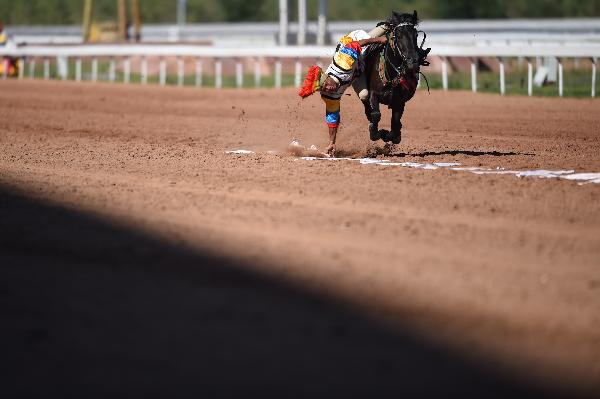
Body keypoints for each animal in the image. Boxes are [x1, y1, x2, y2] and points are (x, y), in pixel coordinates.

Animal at [364, 10, 428, 145]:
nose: (412, 62)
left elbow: (395, 121)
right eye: (398, 35)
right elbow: (376, 114)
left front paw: (390, 135)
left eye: (415, 35)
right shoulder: (374, 93)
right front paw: (375, 132)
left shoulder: (400, 100)